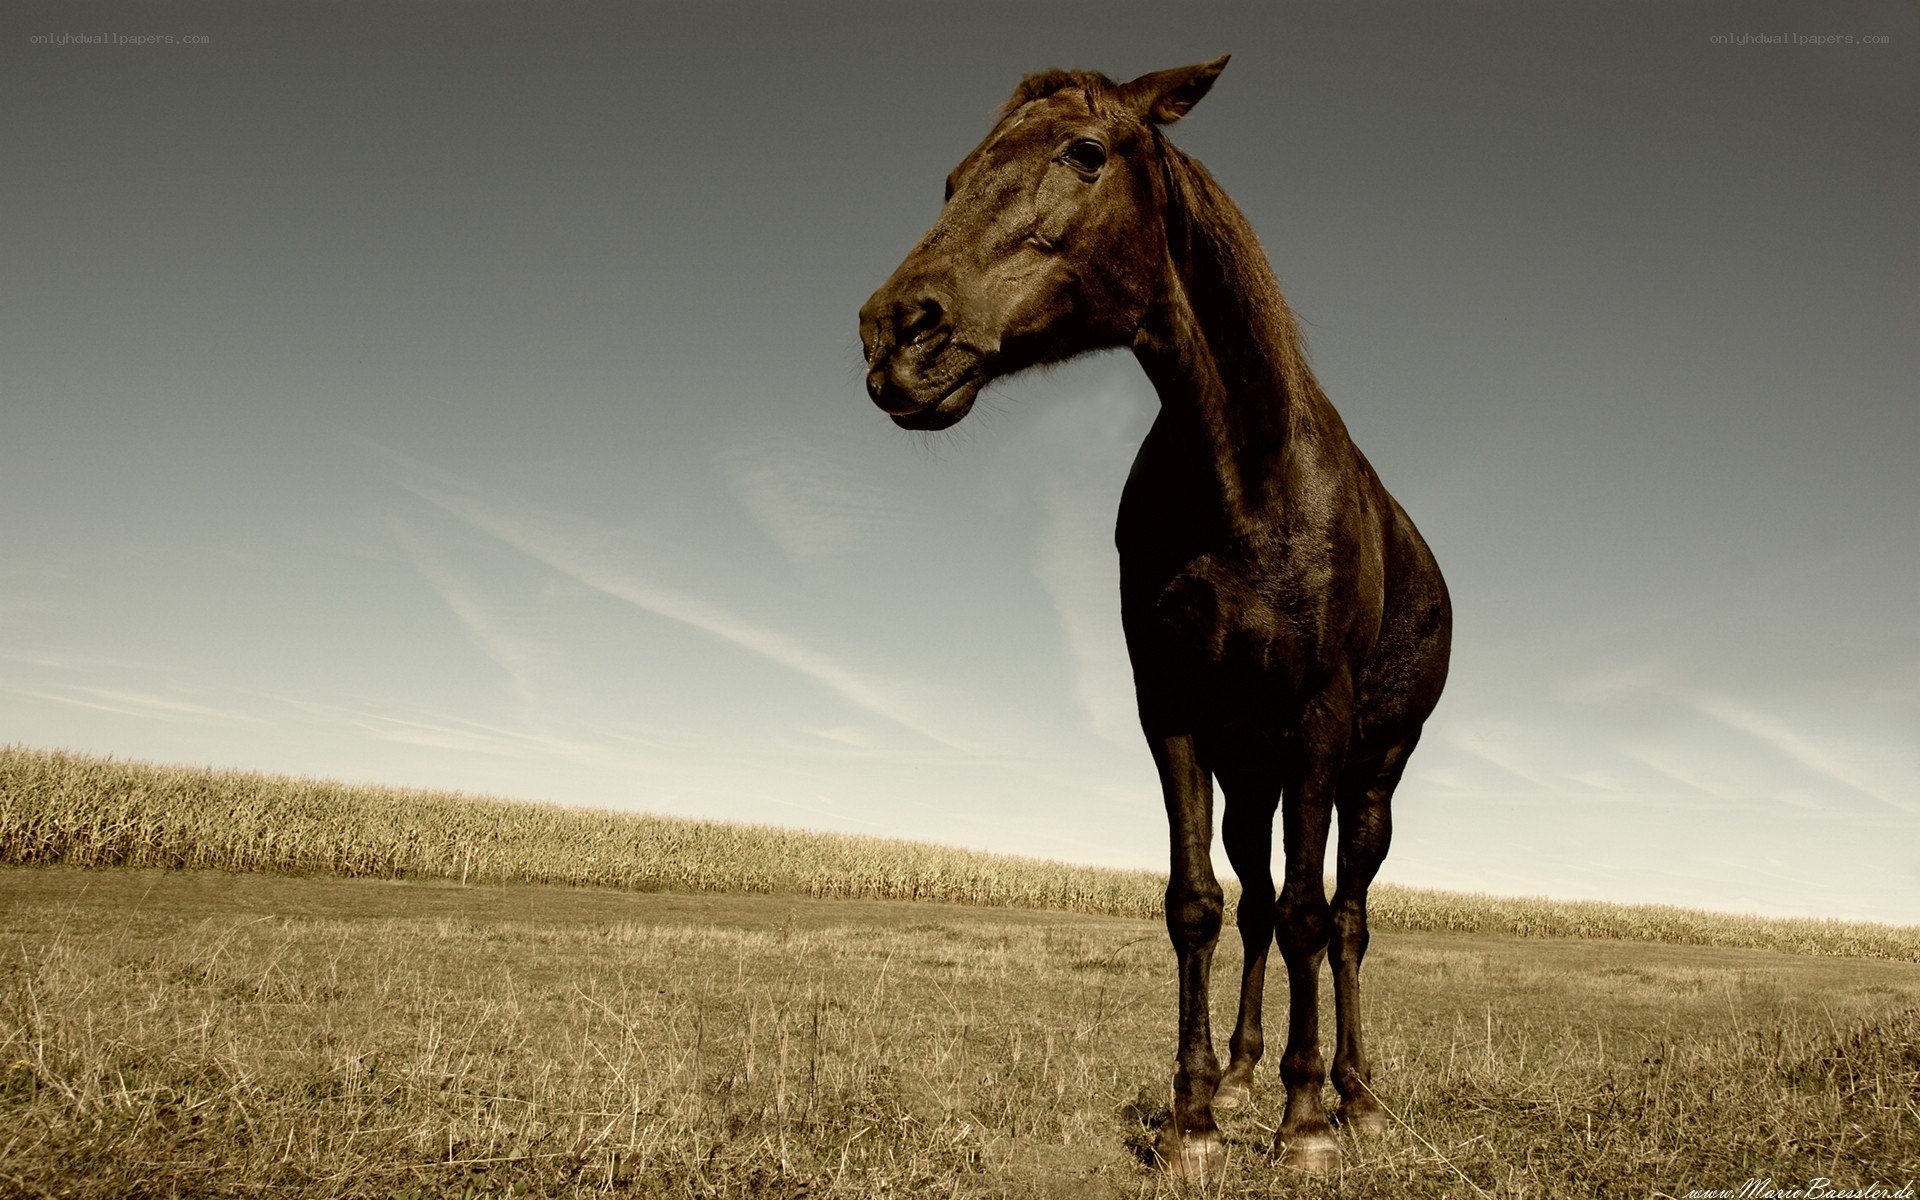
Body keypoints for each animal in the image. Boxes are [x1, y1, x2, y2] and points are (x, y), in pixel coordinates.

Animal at [858, 57, 1451, 1177]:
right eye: (952, 178)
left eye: (1086, 152)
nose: (893, 333)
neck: (1247, 480)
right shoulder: (1172, 711)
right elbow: (1197, 905)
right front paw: (1196, 1120)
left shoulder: (1319, 719)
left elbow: (1312, 915)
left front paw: (1305, 1127)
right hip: (1253, 774)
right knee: (1259, 907)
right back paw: (1249, 1071)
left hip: (1372, 773)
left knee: (1347, 916)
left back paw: (1354, 1094)